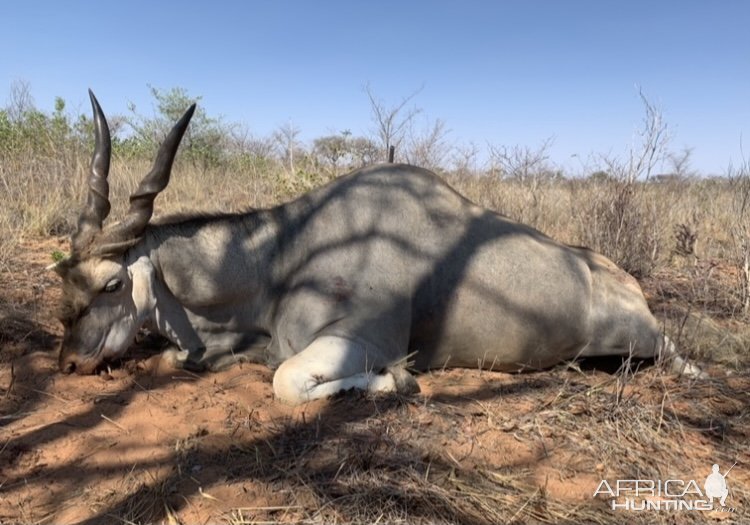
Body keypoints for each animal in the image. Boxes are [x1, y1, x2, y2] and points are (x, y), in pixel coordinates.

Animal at [54, 93, 704, 406]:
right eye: (64, 277)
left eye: (112, 283)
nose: (69, 364)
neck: (283, 258)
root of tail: (626, 284)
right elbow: (188, 360)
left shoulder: (357, 343)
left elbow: (287, 382)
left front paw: (402, 383)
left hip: (645, 342)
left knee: (677, 358)